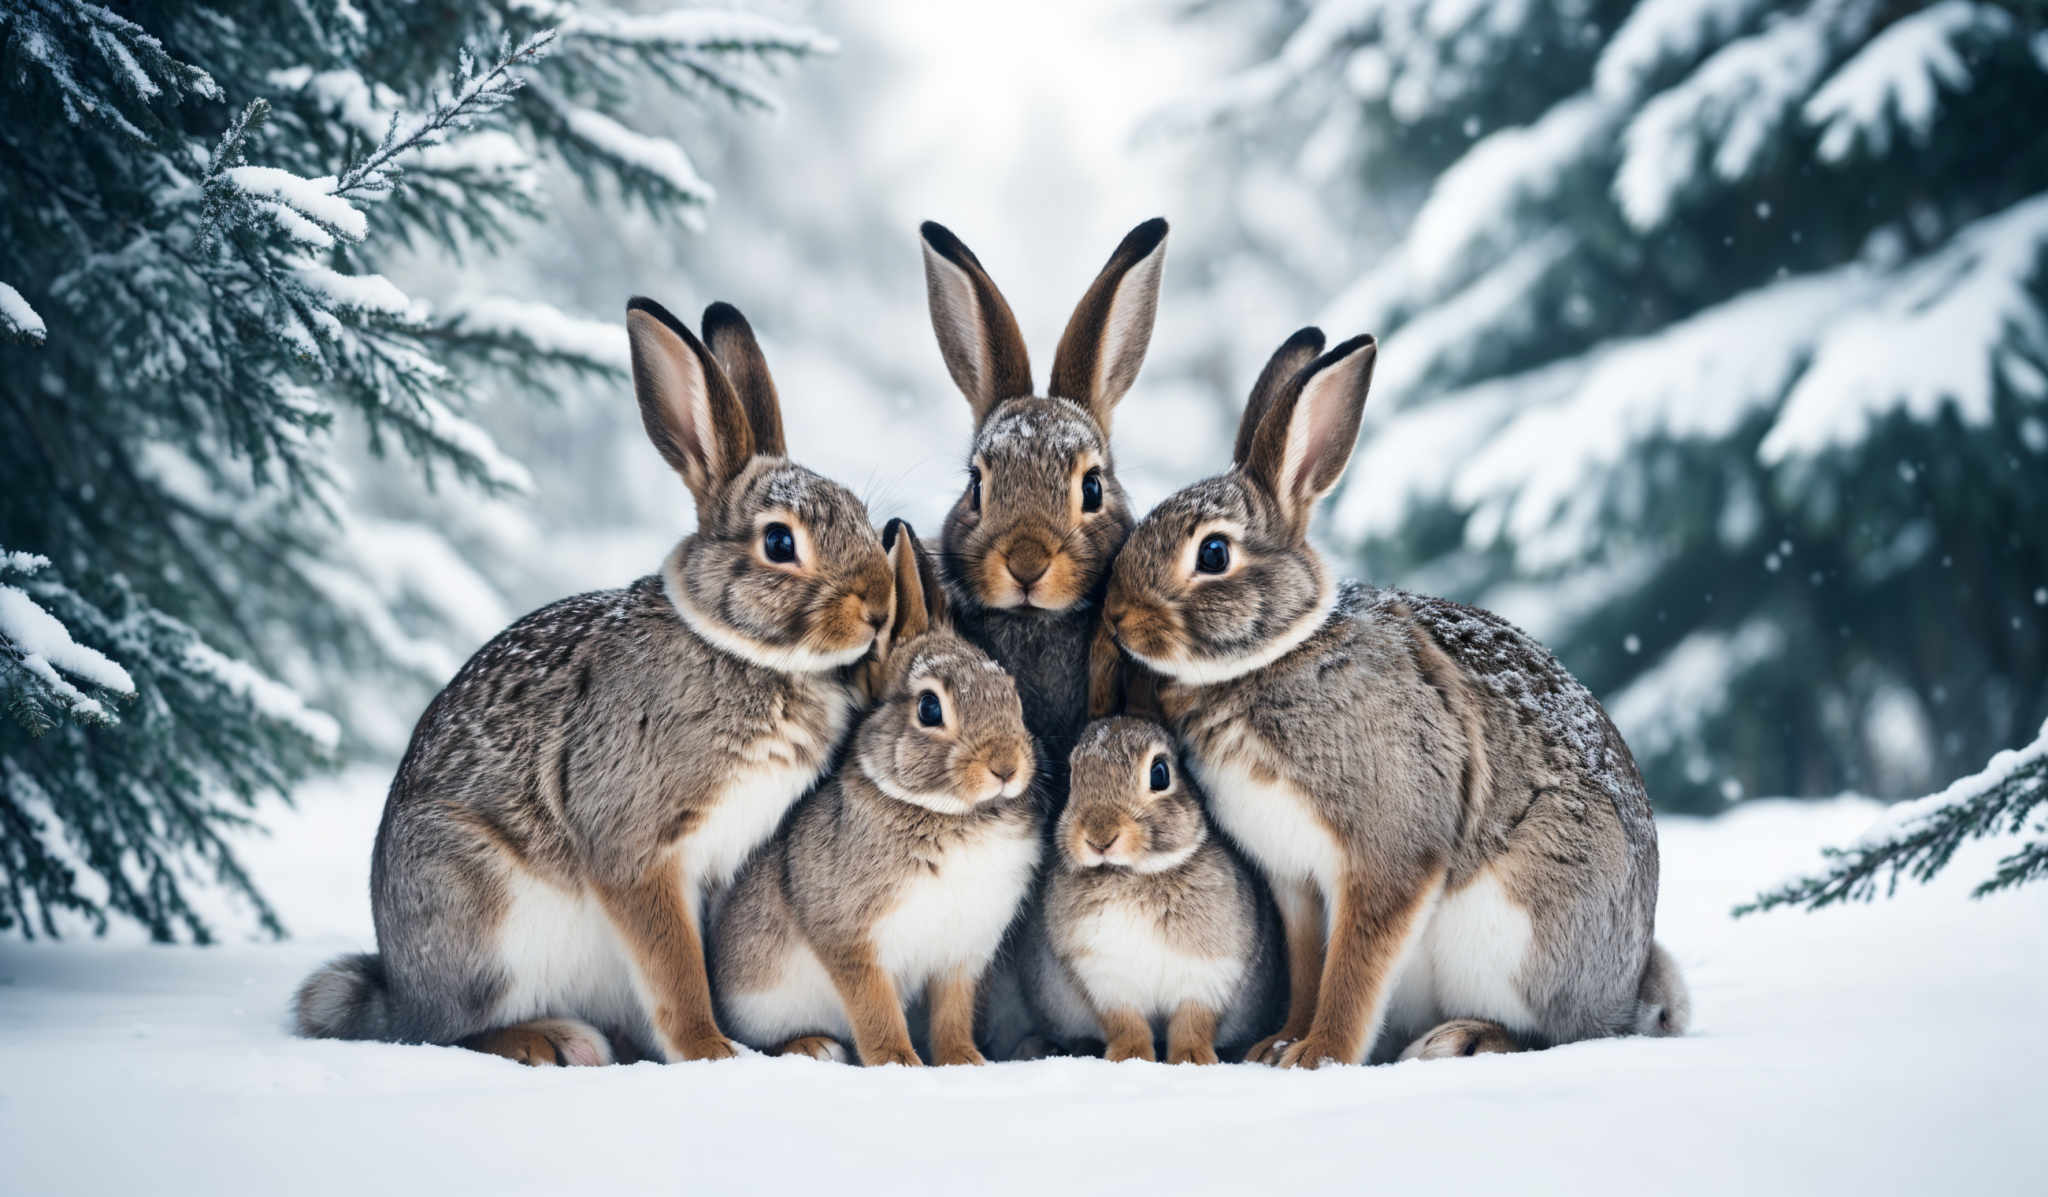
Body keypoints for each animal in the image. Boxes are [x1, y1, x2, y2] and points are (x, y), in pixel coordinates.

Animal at [292, 299, 892, 1065]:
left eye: (864, 516)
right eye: (780, 542)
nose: (878, 607)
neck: (738, 650)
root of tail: (396, 988)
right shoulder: (636, 846)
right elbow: (675, 966)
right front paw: (711, 1051)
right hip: (480, 914)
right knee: (444, 1031)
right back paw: (548, 1041)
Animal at [716, 524, 1048, 1065]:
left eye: (1010, 692)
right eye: (930, 708)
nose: (1005, 767)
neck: (948, 814)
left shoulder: (960, 954)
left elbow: (953, 1012)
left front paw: (964, 1060)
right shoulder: (853, 941)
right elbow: (874, 1008)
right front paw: (897, 1061)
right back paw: (813, 1046)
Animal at [1024, 717, 1277, 1057]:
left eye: (1160, 773)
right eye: (1072, 773)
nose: (1099, 836)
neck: (1135, 874)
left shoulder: (1209, 973)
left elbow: (1192, 1022)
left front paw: (1193, 1058)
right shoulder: (1104, 977)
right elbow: (1127, 1023)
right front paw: (1130, 1056)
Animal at [1097, 325, 1687, 1065]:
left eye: (1212, 554)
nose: (1117, 616)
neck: (1275, 657)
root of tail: (1629, 984)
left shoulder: (1388, 846)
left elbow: (1355, 966)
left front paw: (1319, 1054)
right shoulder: (1295, 882)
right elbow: (1310, 965)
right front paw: (1277, 1044)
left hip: (1523, 925)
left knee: (1554, 1034)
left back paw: (1461, 1038)